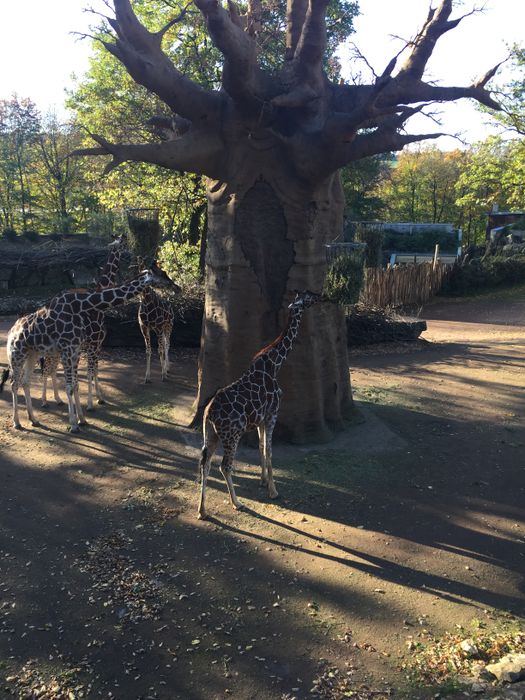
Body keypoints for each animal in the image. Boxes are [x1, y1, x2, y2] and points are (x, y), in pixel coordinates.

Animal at [0, 266, 177, 434]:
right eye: (162, 274)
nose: (174, 285)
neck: (81, 306)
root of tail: (11, 332)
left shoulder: (75, 350)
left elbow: (76, 384)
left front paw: (82, 420)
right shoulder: (68, 349)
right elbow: (70, 386)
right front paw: (73, 424)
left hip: (32, 354)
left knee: (25, 382)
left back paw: (34, 419)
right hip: (16, 355)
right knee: (14, 383)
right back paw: (17, 422)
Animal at [40, 235, 128, 410]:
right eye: (123, 243)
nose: (130, 252)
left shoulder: (97, 344)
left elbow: (95, 371)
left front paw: (99, 398)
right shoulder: (93, 344)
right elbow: (88, 372)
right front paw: (89, 404)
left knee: (52, 369)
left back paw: (58, 400)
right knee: (47, 368)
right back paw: (45, 401)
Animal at [195, 288, 322, 520]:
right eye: (308, 296)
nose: (321, 296)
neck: (275, 364)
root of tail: (208, 413)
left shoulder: (260, 419)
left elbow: (262, 447)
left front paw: (264, 482)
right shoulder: (272, 414)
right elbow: (270, 451)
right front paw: (273, 491)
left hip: (211, 434)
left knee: (205, 464)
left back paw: (202, 510)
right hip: (232, 434)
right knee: (225, 466)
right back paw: (236, 503)